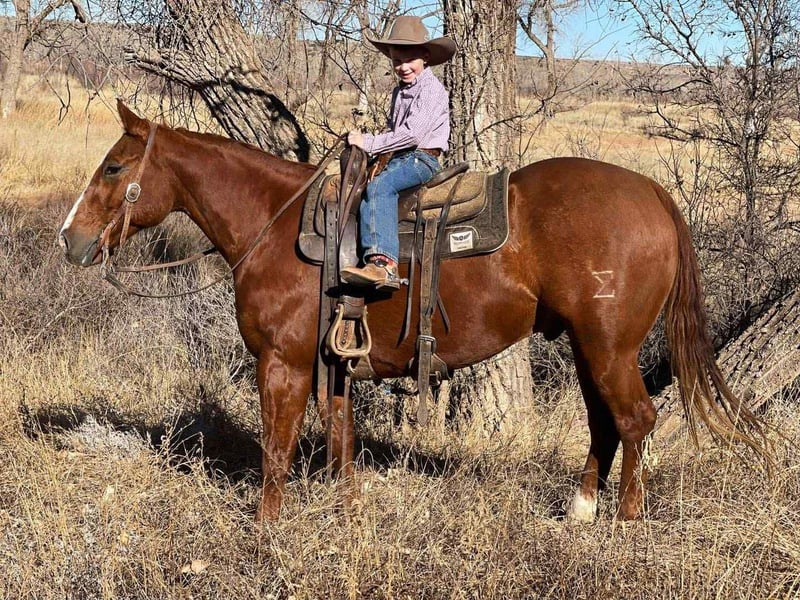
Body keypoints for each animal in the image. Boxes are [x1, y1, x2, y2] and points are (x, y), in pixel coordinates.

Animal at [58, 100, 768, 523]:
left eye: (114, 166)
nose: (71, 240)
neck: (275, 225)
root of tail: (652, 193)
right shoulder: (333, 362)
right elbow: (341, 437)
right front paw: (346, 513)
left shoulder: (282, 363)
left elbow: (276, 447)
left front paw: (266, 527)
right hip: (587, 344)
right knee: (604, 420)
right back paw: (582, 509)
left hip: (609, 344)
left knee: (635, 418)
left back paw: (623, 519)